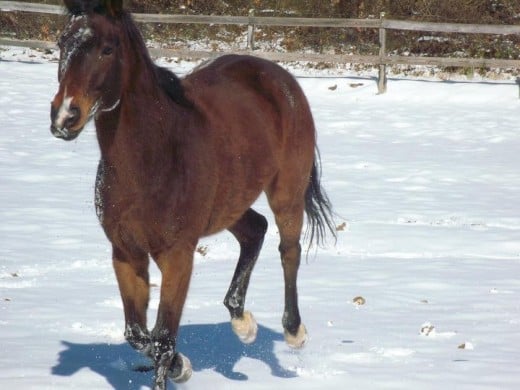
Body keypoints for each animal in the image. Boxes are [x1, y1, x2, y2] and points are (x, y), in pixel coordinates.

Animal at [50, 0, 336, 386]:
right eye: (62, 42)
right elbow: (138, 334)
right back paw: (242, 323)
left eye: (107, 49)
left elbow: (163, 338)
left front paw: (175, 369)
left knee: (288, 250)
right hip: (230, 203)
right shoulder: (126, 254)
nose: (64, 116)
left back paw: (293, 332)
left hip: (286, 192)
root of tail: (277, 75)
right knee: (255, 230)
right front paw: (182, 366)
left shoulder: (178, 256)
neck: (153, 158)